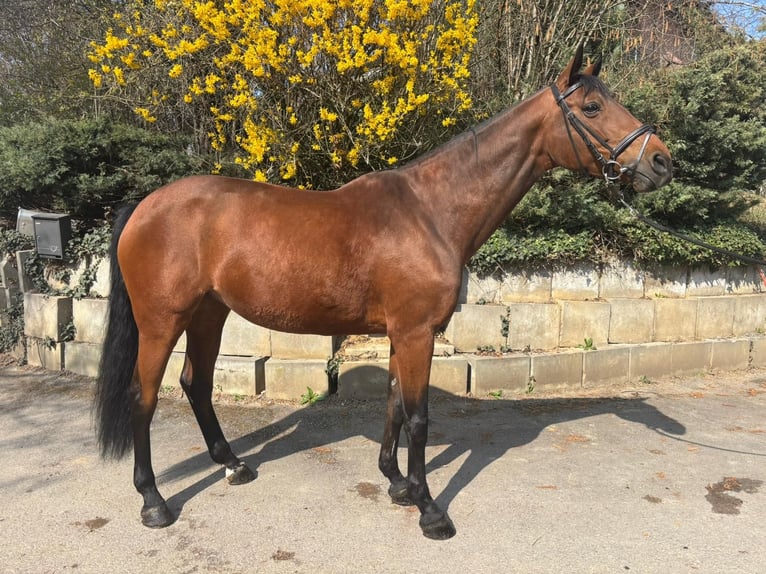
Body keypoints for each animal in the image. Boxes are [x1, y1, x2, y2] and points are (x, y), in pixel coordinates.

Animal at [94, 45, 672, 540]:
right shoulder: (417, 333)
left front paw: (398, 484)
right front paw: (430, 509)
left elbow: (394, 404)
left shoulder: (403, 333)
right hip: (162, 321)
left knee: (196, 383)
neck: (431, 212)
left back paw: (234, 465)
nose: (662, 161)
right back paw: (153, 502)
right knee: (144, 397)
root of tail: (144, 206)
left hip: (208, 315)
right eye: (592, 106)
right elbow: (417, 416)